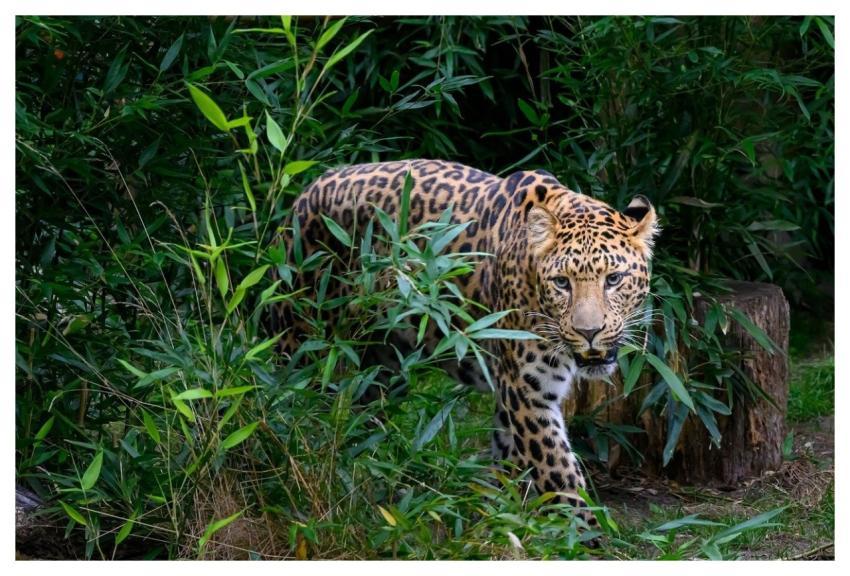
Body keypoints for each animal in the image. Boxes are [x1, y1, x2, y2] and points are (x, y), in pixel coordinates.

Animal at [271, 159, 659, 533]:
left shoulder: (511, 395)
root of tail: (308, 188)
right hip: (302, 337)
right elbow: (560, 474)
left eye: (614, 279)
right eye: (562, 283)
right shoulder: (528, 392)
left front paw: (502, 517)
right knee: (291, 411)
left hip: (383, 365)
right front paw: (589, 537)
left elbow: (509, 462)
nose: (588, 331)